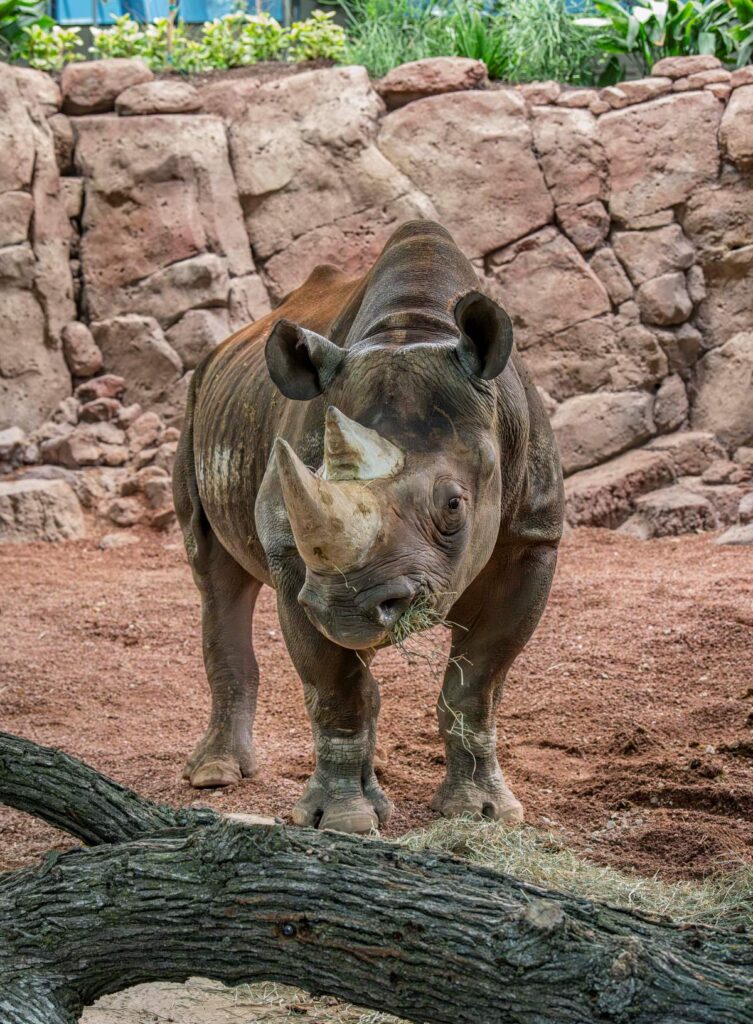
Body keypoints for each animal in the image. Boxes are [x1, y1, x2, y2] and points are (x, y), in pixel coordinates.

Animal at [173, 220, 563, 835]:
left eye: (454, 505)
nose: (348, 607)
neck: (413, 331)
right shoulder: (297, 559)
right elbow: (335, 687)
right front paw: (341, 821)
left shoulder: (533, 537)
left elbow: (476, 684)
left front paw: (483, 813)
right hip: (191, 408)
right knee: (213, 575)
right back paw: (215, 775)